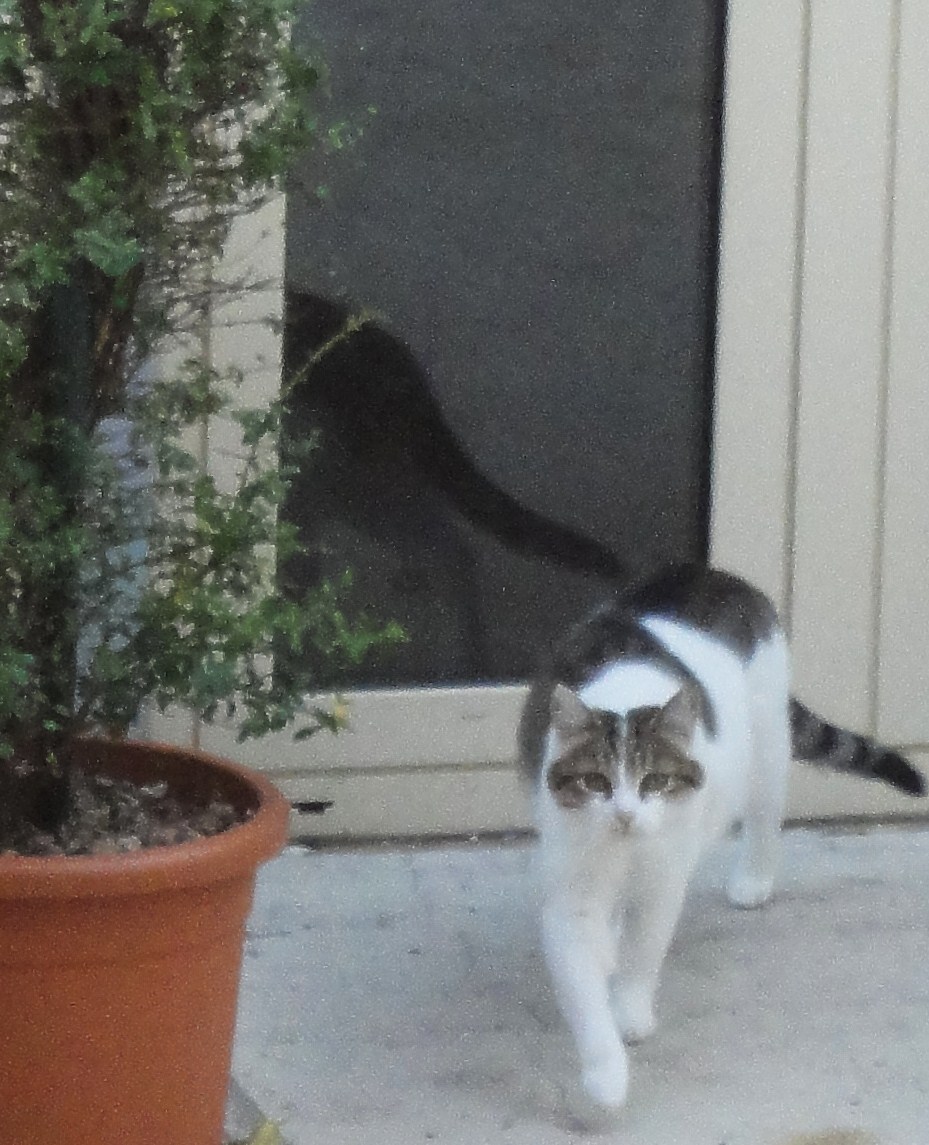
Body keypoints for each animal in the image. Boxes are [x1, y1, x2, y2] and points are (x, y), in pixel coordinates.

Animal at [517, 563, 925, 1109]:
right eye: (596, 783)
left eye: (654, 782)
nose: (625, 815)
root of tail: (716, 574)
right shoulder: (571, 887)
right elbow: (582, 982)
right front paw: (606, 1074)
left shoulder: (663, 878)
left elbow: (645, 949)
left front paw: (629, 1013)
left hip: (767, 743)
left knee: (764, 814)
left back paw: (753, 880)